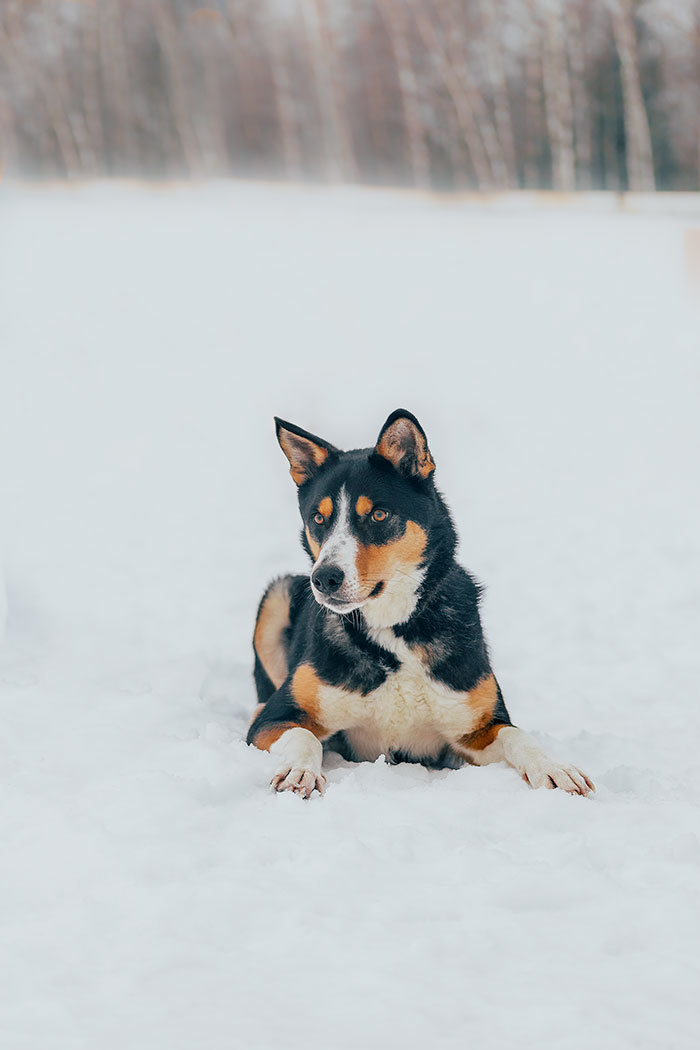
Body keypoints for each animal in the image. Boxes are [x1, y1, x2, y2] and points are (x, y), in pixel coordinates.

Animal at [248, 409, 596, 793]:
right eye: (319, 518)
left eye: (379, 515)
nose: (324, 578)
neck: (394, 627)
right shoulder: (276, 718)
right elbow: (304, 736)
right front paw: (299, 771)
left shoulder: (477, 730)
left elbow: (518, 735)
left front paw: (553, 766)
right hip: (276, 597)